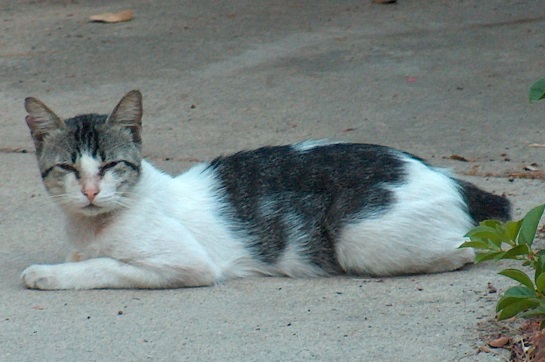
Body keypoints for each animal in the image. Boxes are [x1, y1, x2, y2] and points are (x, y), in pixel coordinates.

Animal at [21, 91, 512, 292]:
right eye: (67, 167)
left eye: (109, 166)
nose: (89, 192)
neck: (90, 229)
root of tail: (443, 173)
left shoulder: (186, 263)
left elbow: (105, 266)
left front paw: (46, 274)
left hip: (361, 241)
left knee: (469, 248)